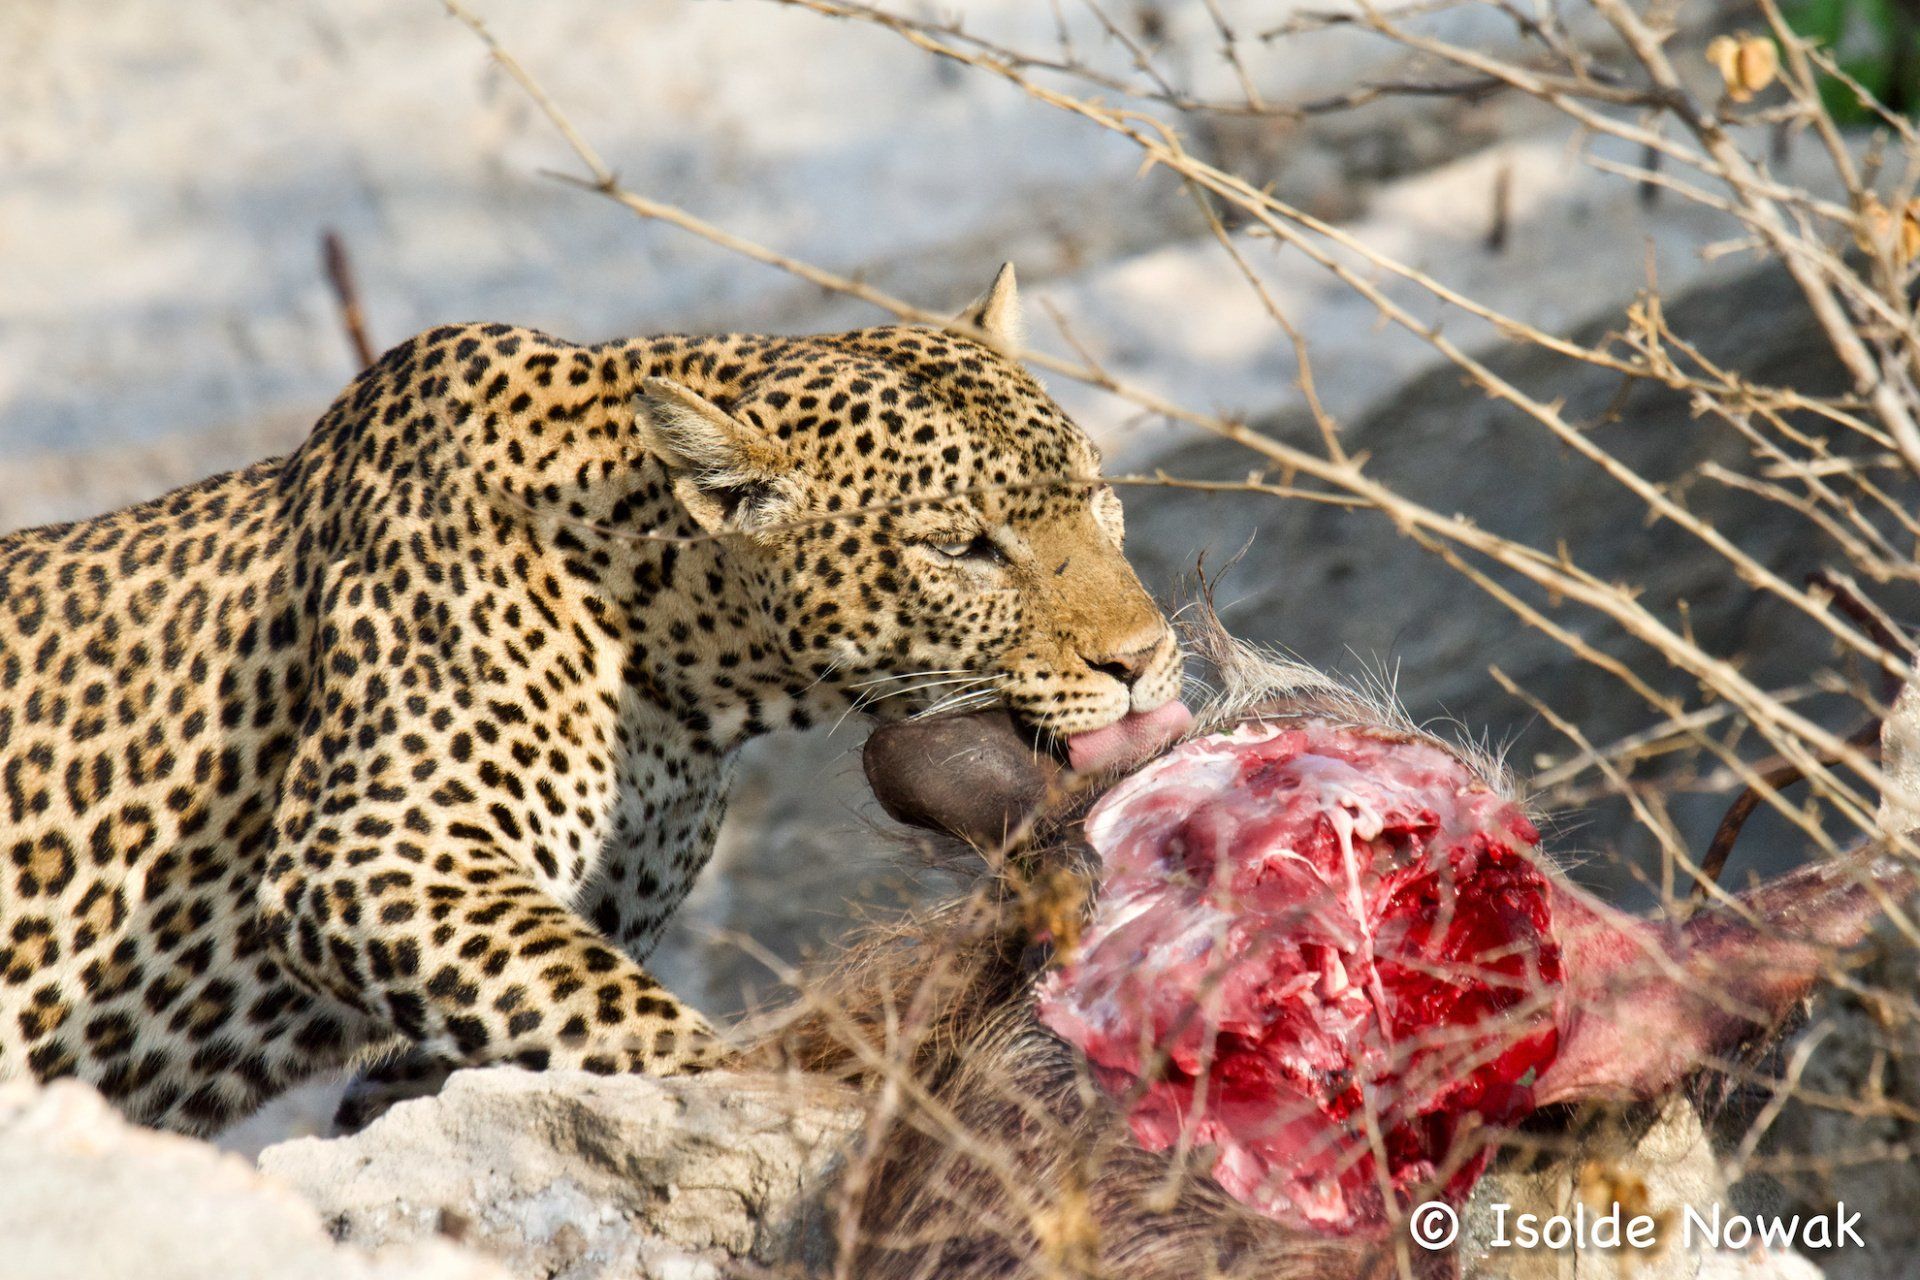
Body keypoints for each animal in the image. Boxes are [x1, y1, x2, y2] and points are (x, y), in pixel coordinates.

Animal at [0, 265, 1184, 1135]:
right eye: (962, 548)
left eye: (1097, 492)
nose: (1143, 656)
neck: (688, 671)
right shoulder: (368, 854)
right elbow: (641, 1027)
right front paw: (794, 1099)